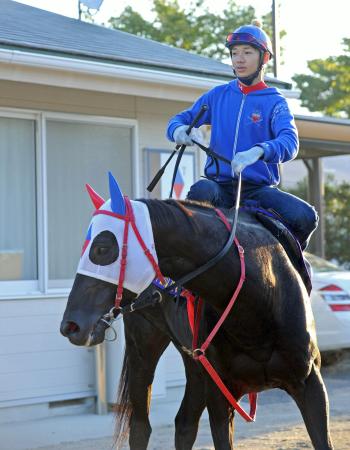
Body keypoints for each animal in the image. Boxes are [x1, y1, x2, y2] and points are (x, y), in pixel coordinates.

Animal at [60, 174, 334, 448]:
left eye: (101, 248)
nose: (70, 326)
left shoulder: (310, 385)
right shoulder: (220, 395)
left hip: (193, 363)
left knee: (184, 424)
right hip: (144, 349)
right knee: (140, 427)